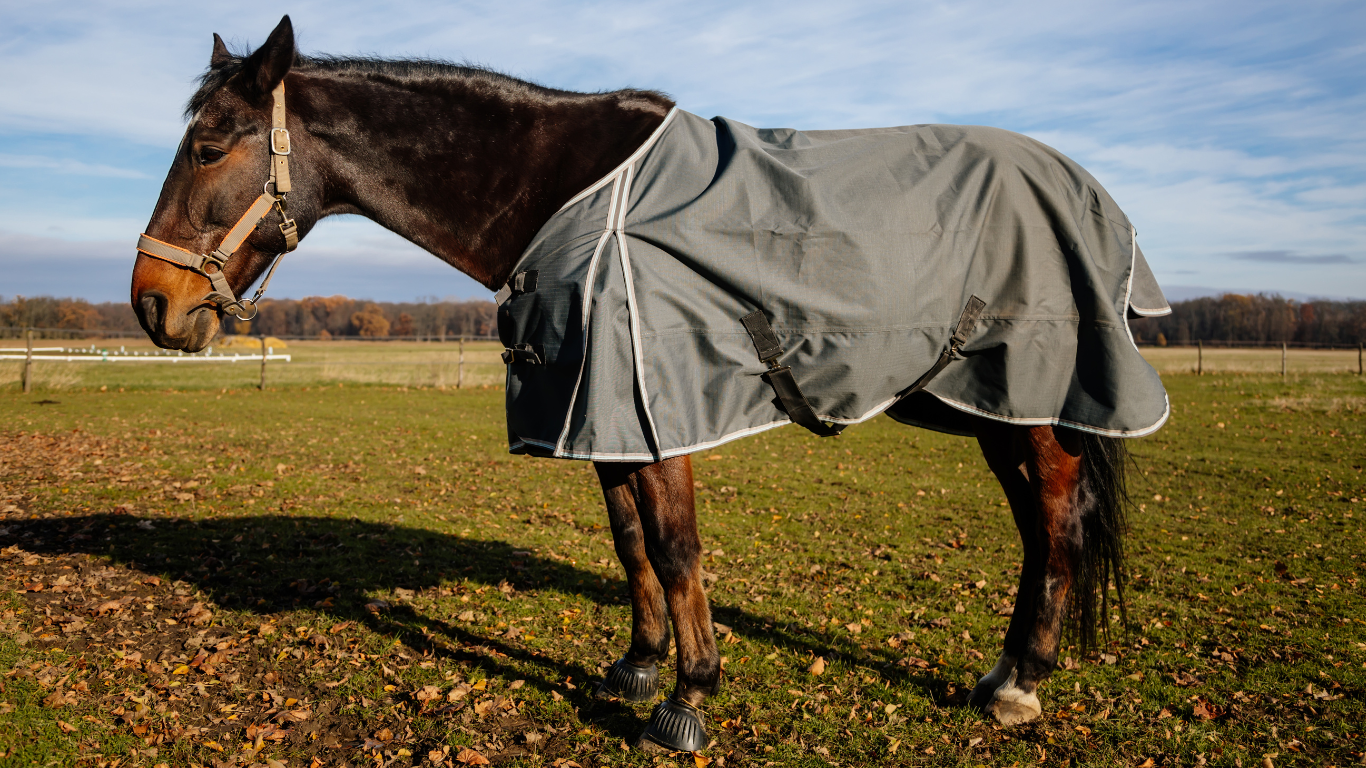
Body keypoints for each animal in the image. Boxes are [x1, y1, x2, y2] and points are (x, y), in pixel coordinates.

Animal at [128, 16, 1158, 748]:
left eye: (211, 146)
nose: (151, 304)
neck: (561, 197)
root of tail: (1088, 189)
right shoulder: (601, 415)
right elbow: (629, 544)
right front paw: (637, 667)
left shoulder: (658, 402)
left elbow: (675, 546)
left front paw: (690, 699)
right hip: (992, 408)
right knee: (1037, 525)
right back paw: (1006, 675)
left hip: (1030, 403)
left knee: (1055, 520)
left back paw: (1018, 683)